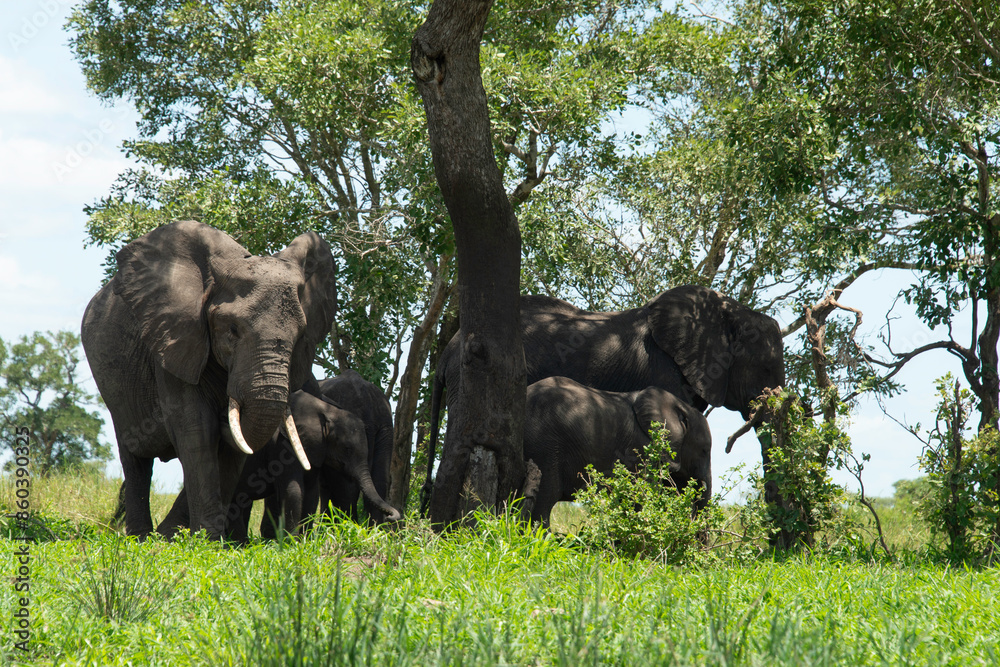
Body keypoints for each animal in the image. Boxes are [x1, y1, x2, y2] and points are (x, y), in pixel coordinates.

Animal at [81, 220, 336, 539]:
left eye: (301, 334)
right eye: (233, 329)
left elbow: (234, 448)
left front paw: (209, 540)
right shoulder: (175, 341)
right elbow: (195, 430)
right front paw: (204, 540)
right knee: (135, 459)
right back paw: (140, 537)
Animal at [224, 389, 402, 542]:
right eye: (347, 449)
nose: (391, 516)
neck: (327, 411)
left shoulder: (316, 449)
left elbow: (311, 491)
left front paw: (305, 541)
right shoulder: (284, 446)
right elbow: (293, 490)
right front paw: (291, 543)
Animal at [522, 377, 712, 525]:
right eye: (704, 451)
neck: (681, 406)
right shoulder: (642, 450)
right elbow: (641, 497)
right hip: (545, 447)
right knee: (544, 503)